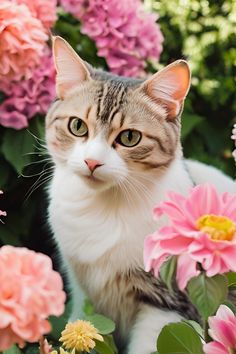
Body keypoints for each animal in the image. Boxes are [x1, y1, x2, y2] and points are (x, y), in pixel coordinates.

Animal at [45, 36, 235, 354]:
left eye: (129, 137)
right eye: (77, 126)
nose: (92, 162)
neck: (104, 208)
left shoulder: (169, 302)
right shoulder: (83, 293)